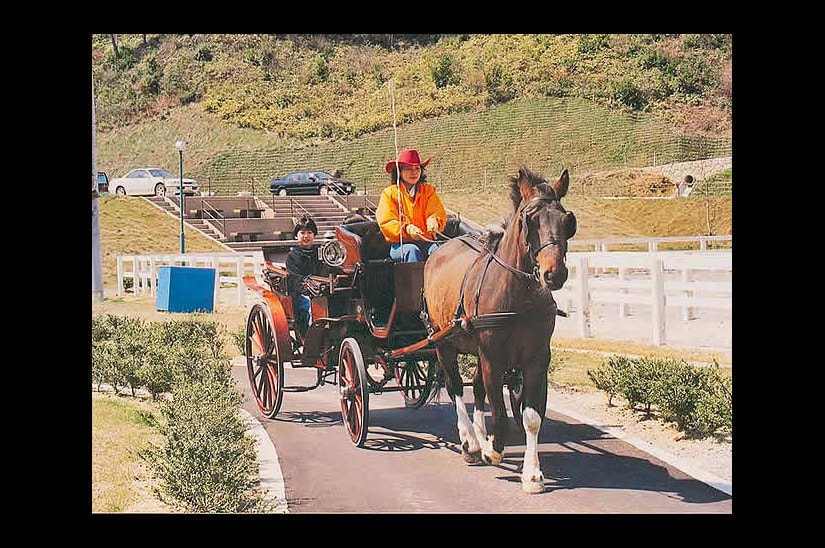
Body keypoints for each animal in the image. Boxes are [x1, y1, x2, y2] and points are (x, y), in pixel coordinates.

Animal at [422, 166, 576, 492]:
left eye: (566, 221)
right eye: (530, 220)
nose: (554, 274)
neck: (518, 294)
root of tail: (441, 248)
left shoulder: (536, 359)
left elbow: (531, 417)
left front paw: (532, 474)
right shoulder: (493, 357)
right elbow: (501, 415)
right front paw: (492, 448)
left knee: (477, 387)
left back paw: (479, 436)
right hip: (444, 343)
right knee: (456, 386)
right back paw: (471, 442)